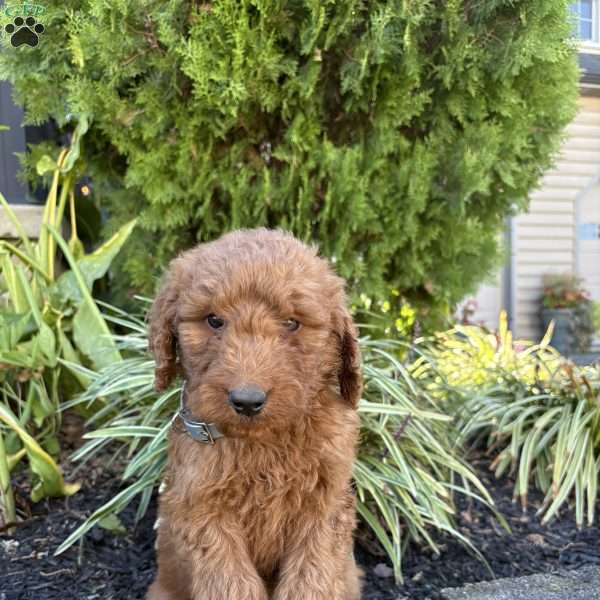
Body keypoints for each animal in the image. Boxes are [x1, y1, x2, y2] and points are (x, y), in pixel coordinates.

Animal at [148, 229, 364, 600]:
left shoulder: (325, 505)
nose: (247, 401)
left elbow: (311, 578)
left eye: (292, 323)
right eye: (214, 320)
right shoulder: (204, 509)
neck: (262, 441)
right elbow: (230, 583)